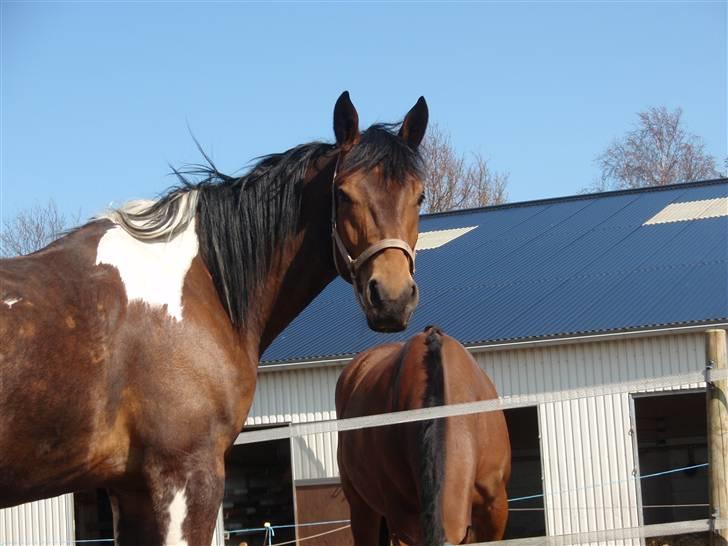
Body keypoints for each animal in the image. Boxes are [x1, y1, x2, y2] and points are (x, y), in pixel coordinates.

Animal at [0, 92, 430, 544]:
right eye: (344, 194)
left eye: (419, 197)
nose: (392, 298)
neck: (204, 283)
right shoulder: (186, 474)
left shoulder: (130, 488)